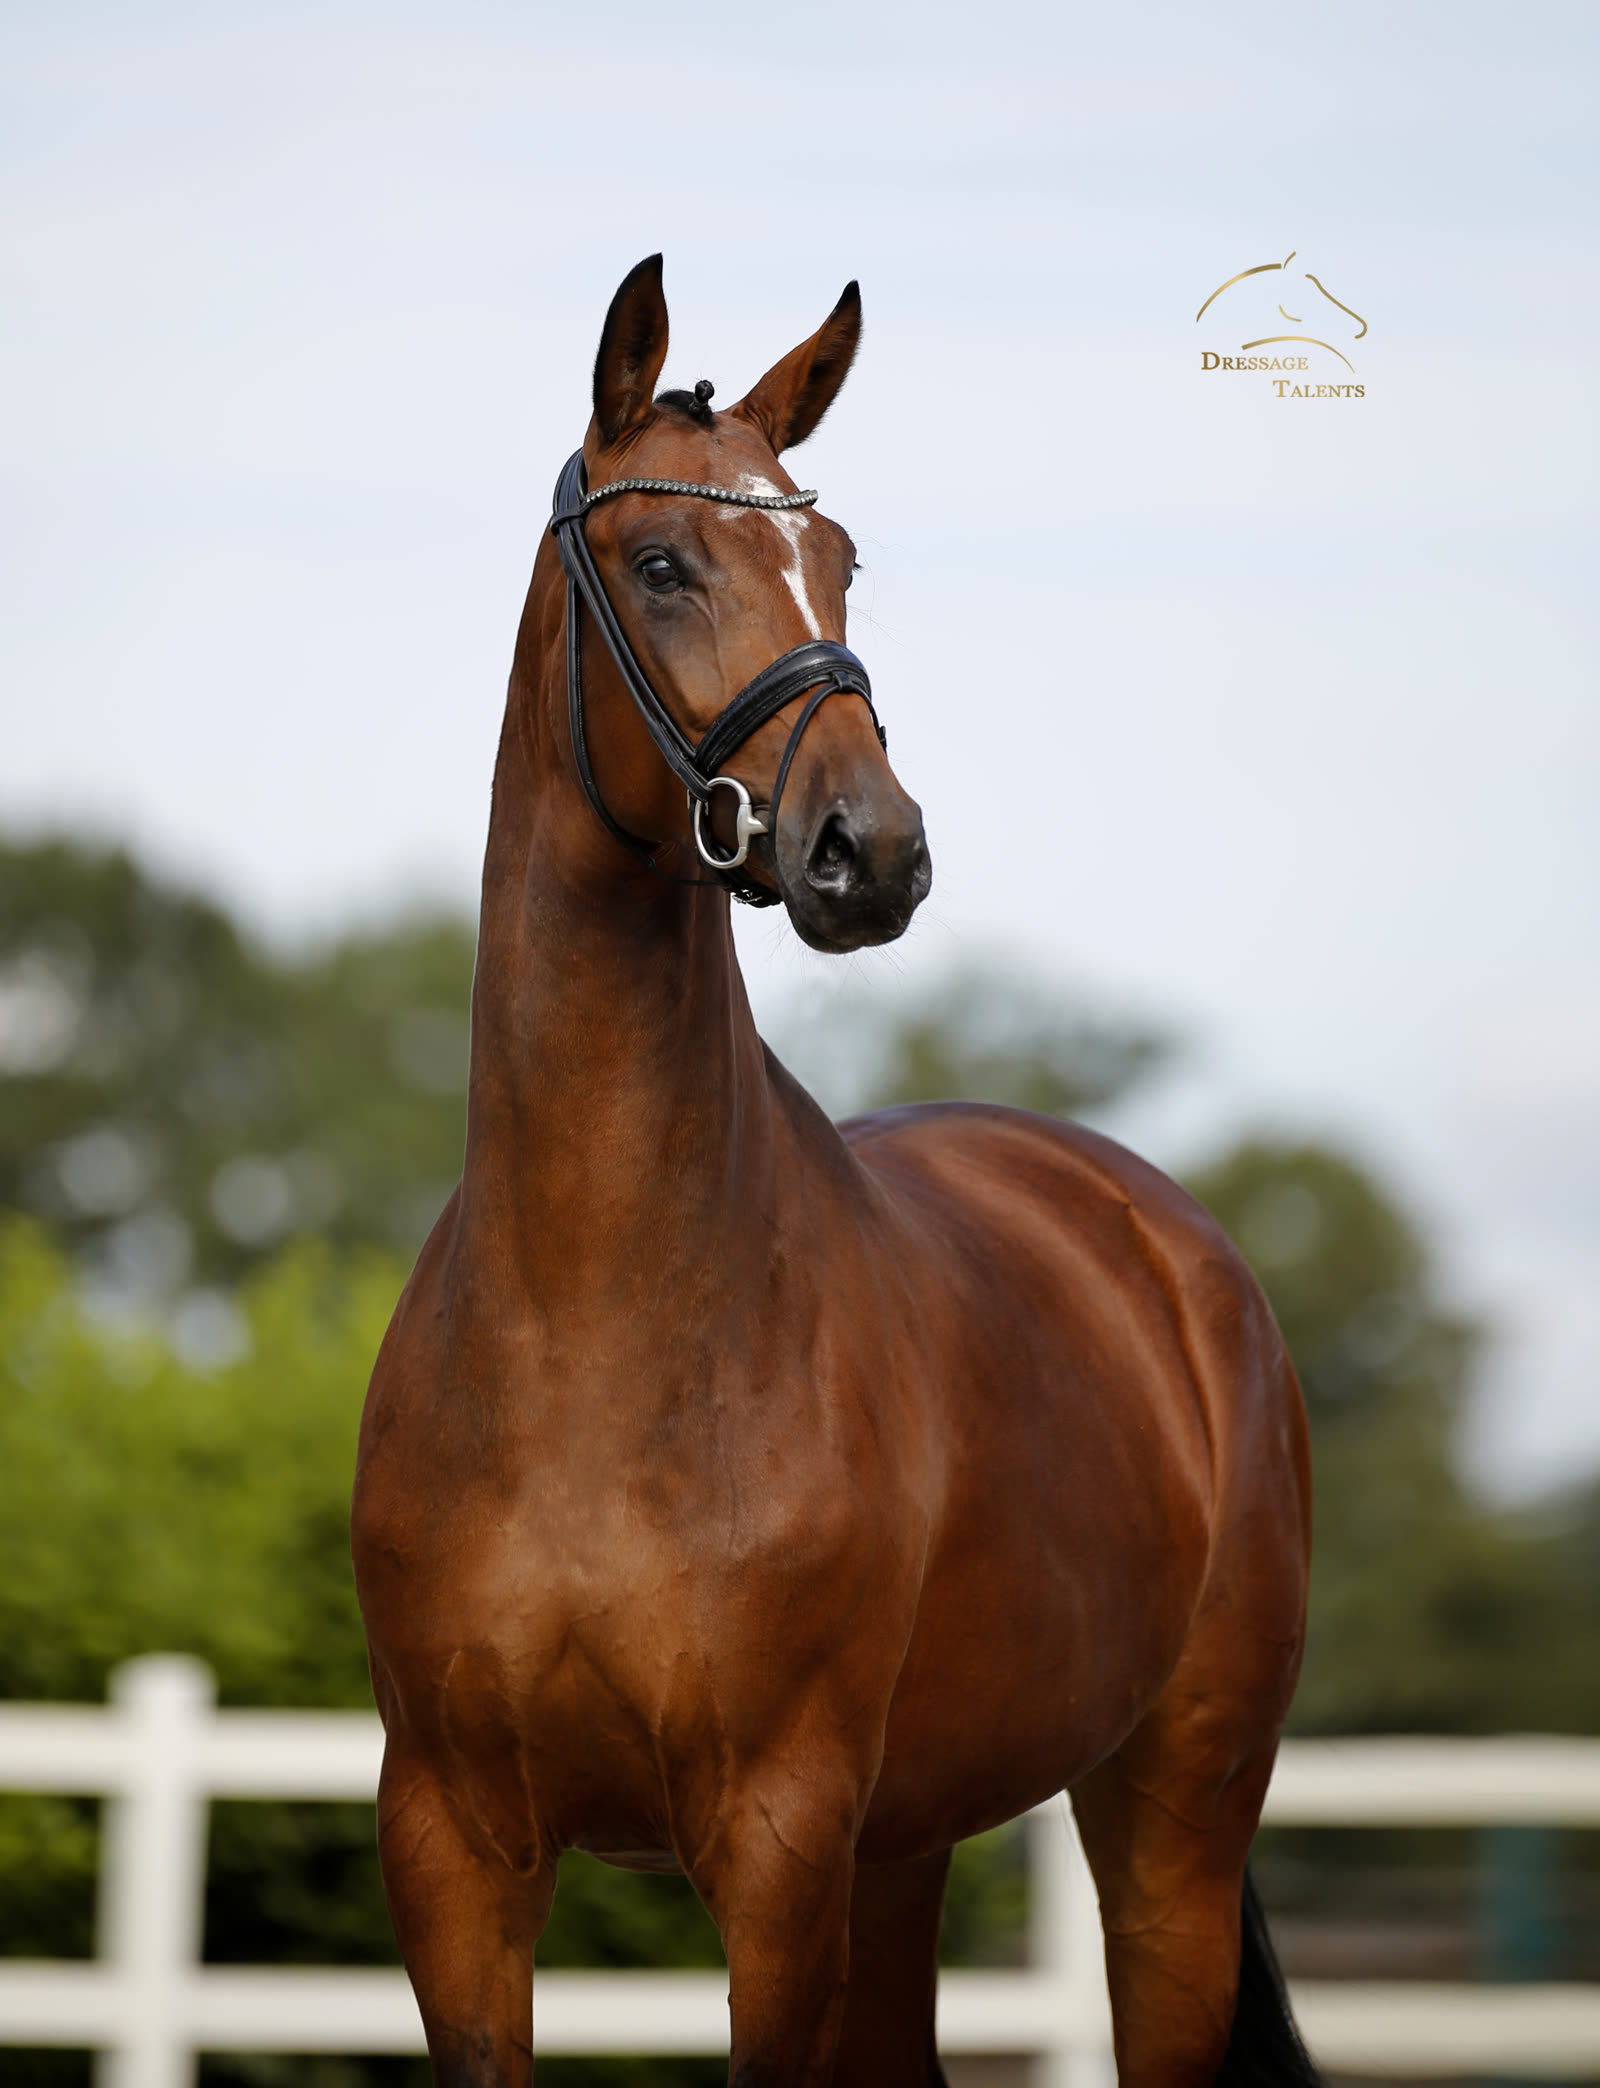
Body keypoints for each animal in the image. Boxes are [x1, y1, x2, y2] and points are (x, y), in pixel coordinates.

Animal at [351, 254, 1320, 2088]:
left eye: (842, 558)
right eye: (664, 563)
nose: (873, 852)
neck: (591, 1310)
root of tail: (1167, 1245)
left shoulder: (779, 1845)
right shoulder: (454, 1846)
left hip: (1170, 1816)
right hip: (911, 1841)